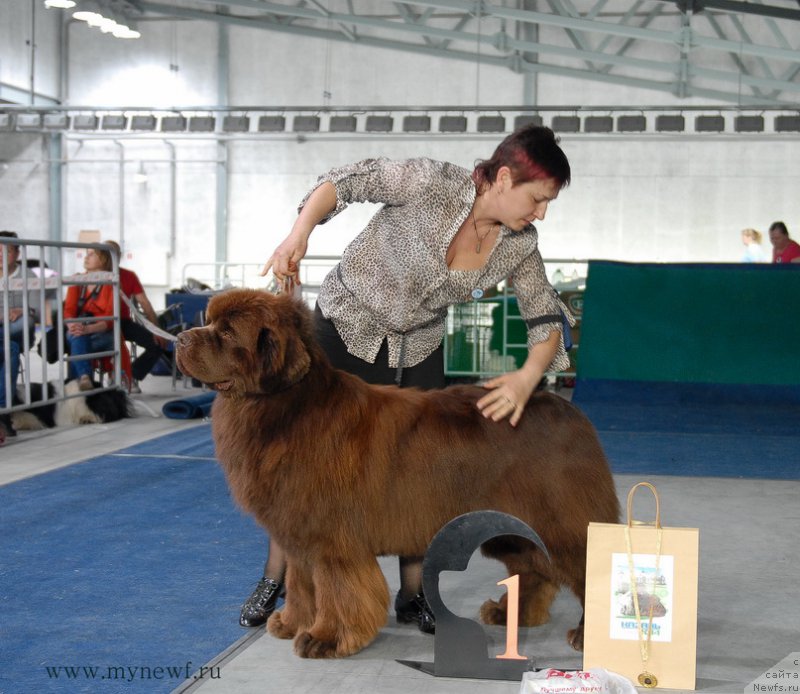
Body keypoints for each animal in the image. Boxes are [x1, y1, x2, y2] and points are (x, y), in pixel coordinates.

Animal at [175, 290, 620, 660]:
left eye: (226, 331)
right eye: (209, 321)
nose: (180, 339)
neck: (286, 408)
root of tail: (569, 411)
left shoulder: (332, 537)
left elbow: (335, 589)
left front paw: (325, 638)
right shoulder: (298, 531)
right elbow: (302, 584)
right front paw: (291, 623)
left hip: (558, 521)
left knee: (588, 568)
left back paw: (587, 636)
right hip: (509, 526)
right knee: (533, 568)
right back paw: (511, 613)